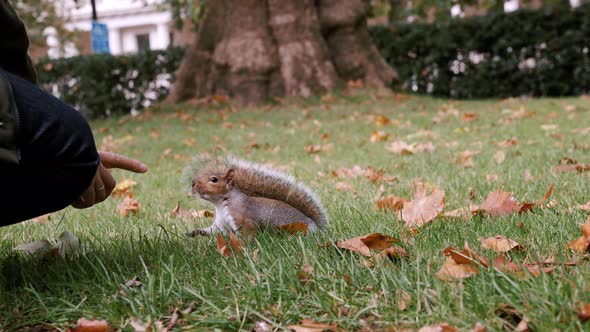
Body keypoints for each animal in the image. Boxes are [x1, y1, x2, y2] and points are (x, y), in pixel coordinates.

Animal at [186, 154, 328, 235]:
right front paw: (195, 232)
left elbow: (248, 235)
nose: (193, 183)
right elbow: (213, 230)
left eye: (214, 179)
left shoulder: (242, 218)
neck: (220, 204)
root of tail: (318, 229)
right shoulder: (221, 222)